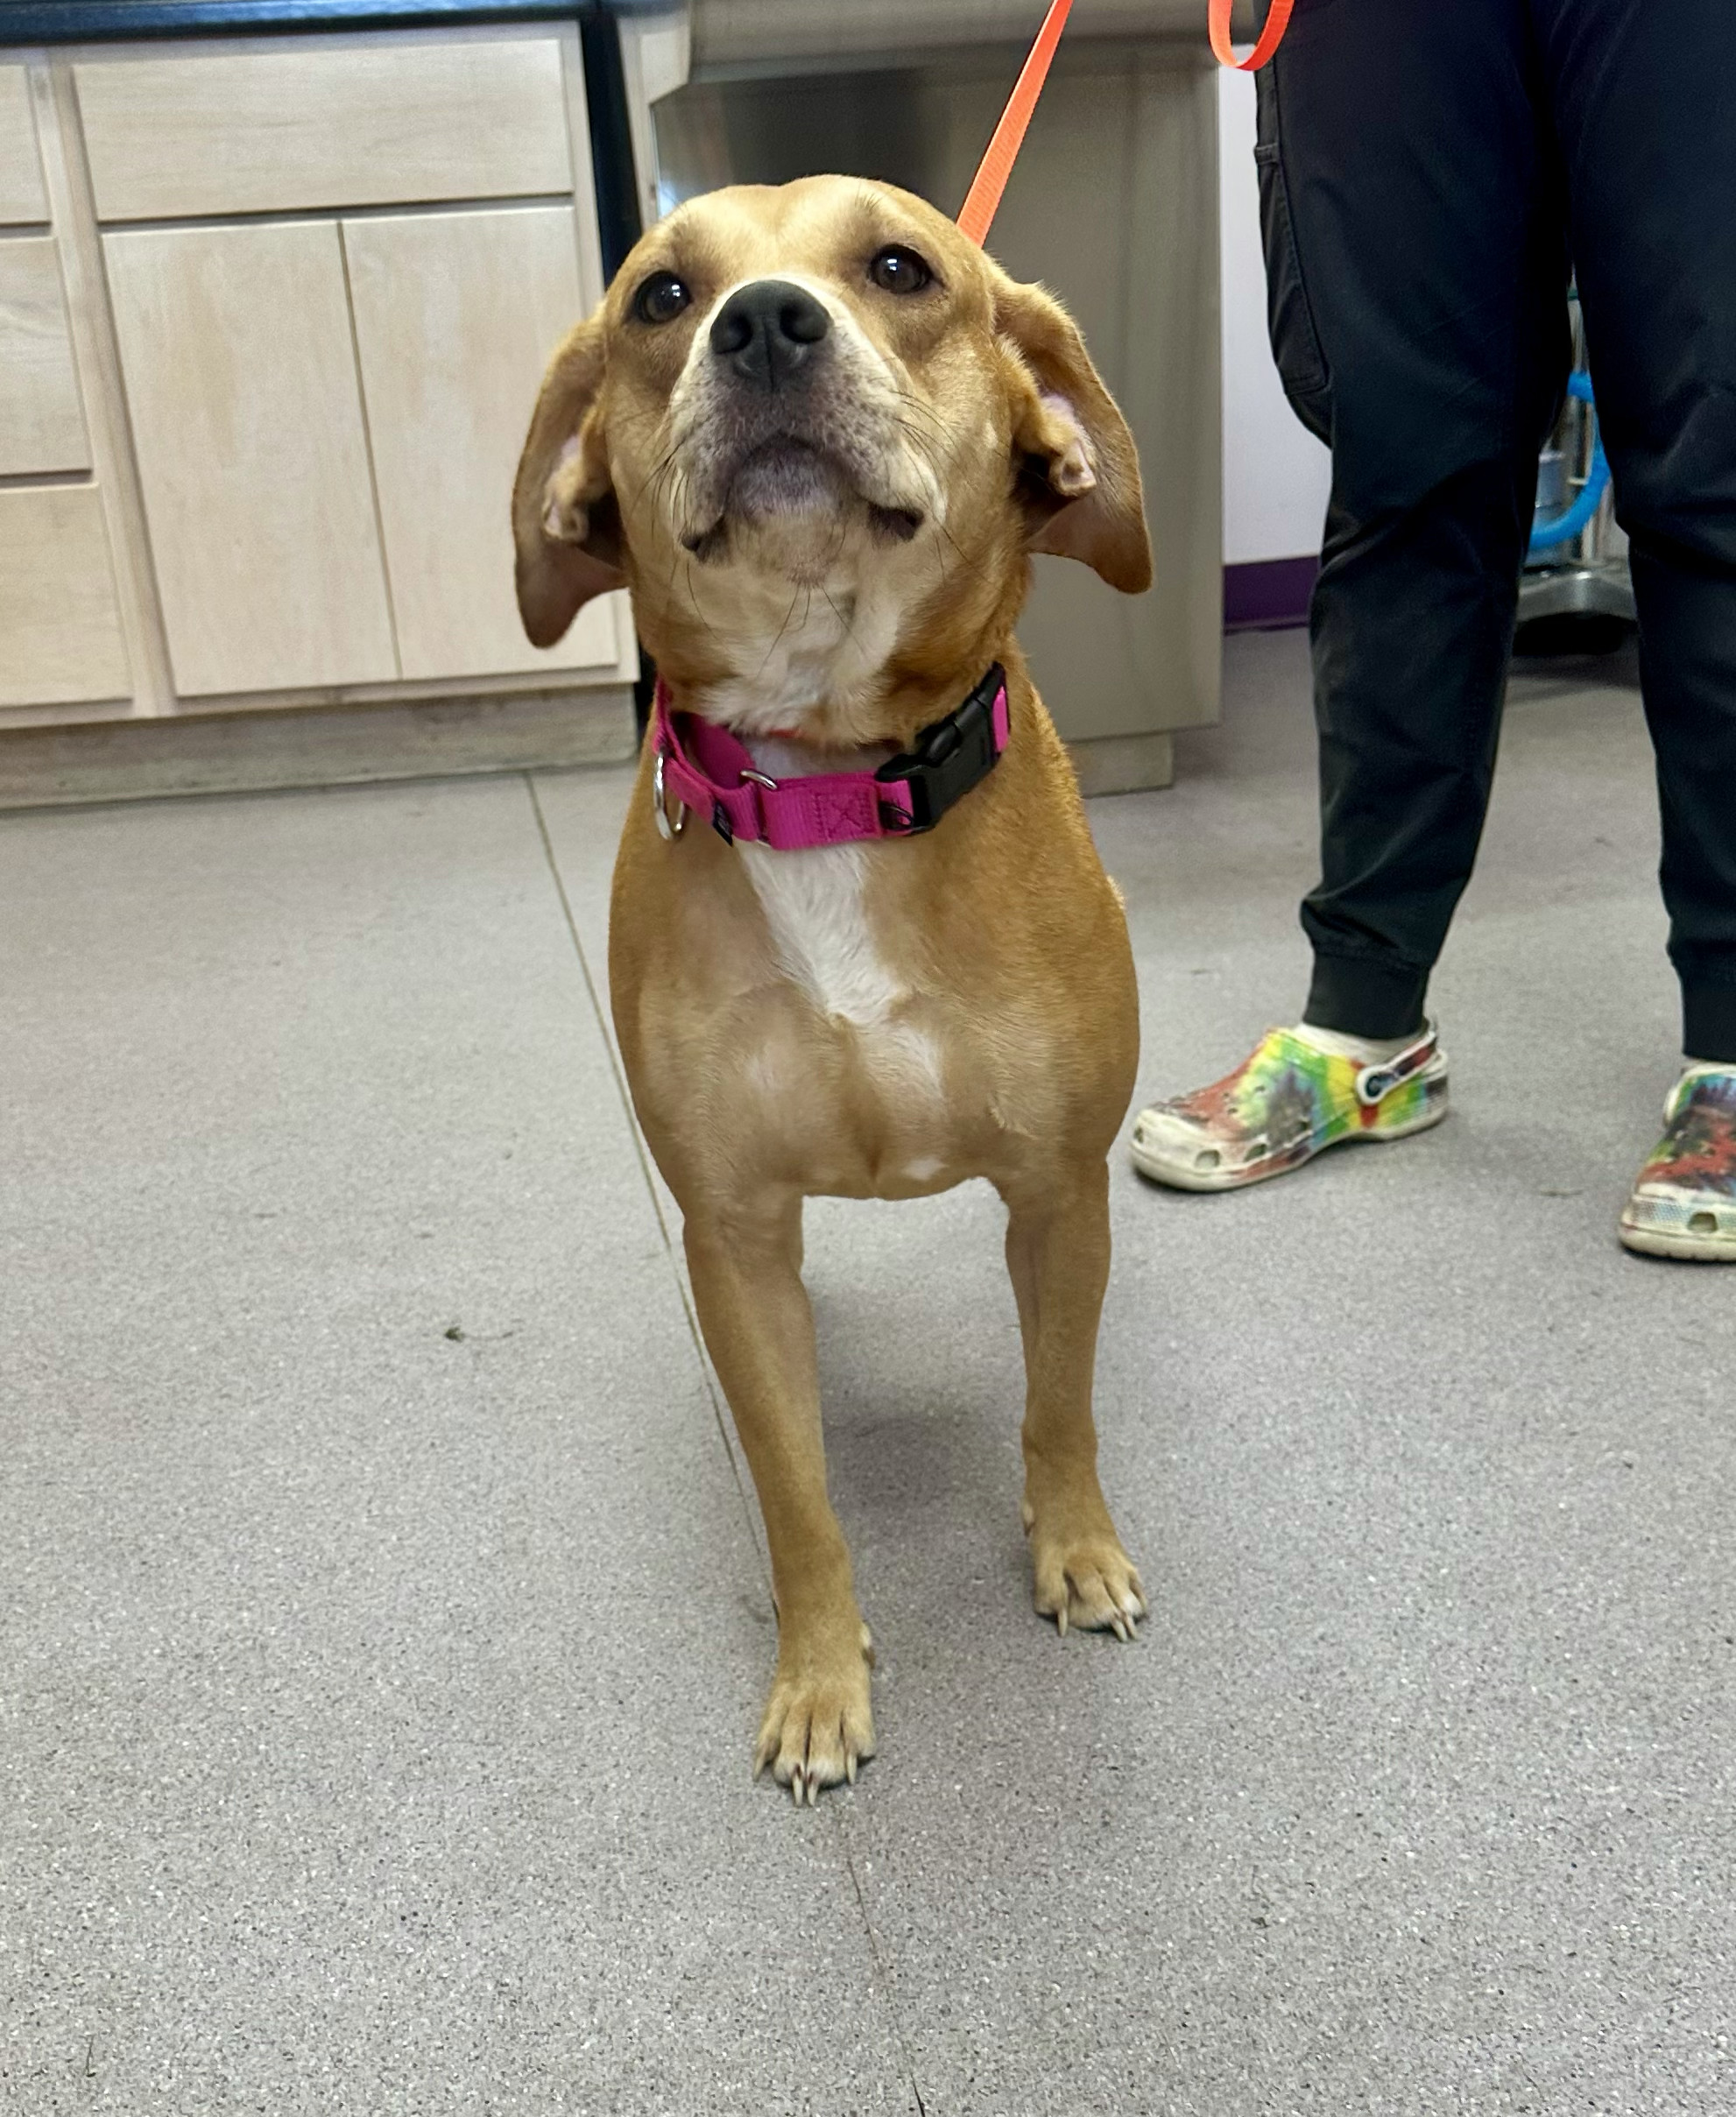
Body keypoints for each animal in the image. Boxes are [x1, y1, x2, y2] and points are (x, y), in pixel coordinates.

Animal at [523, 186, 1160, 1803]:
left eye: (898, 269)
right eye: (658, 294)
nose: (760, 322)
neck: (826, 785)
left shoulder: (1058, 1194)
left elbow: (1058, 1406)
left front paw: (1073, 1551)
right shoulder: (736, 1242)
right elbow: (796, 1501)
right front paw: (818, 1681)